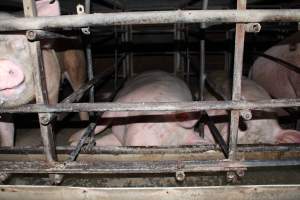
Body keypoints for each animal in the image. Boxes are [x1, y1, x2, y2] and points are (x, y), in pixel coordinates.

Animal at [0, 0, 87, 147]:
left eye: (22, 43)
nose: (1, 63)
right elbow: (6, 131)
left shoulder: (52, 83)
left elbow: (49, 117)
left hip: (76, 63)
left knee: (80, 96)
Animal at [69, 71, 207, 146]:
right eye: (159, 130)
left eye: (168, 145)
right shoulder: (121, 103)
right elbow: (100, 123)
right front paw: (72, 140)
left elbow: (105, 141)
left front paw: (73, 143)